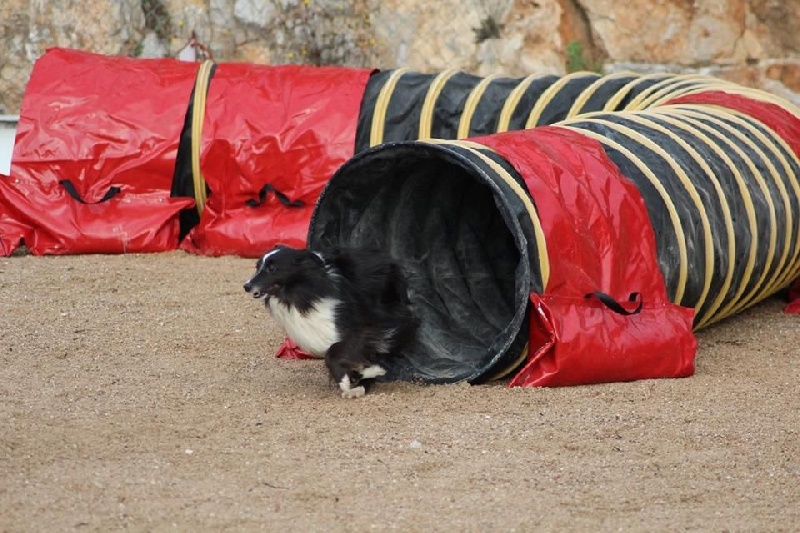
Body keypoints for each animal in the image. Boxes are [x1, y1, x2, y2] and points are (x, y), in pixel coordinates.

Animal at [244, 244, 418, 394]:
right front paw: (355, 376)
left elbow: (334, 351)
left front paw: (351, 379)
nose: (246, 286)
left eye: (272, 268)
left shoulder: (365, 326)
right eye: (257, 267)